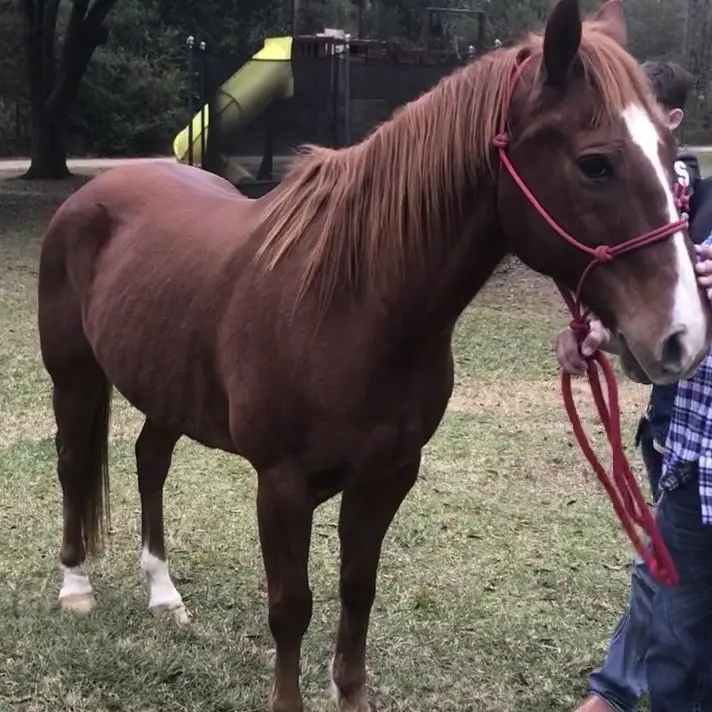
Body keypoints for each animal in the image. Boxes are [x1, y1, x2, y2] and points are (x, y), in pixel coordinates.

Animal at [37, 1, 712, 712]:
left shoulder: (388, 476)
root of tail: (94, 195)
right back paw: (75, 586)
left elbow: (357, 594)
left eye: (672, 156)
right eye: (595, 164)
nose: (682, 336)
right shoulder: (281, 484)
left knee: (150, 462)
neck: (354, 305)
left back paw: (163, 594)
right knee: (73, 462)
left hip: (168, 387)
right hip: (73, 377)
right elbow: (291, 608)